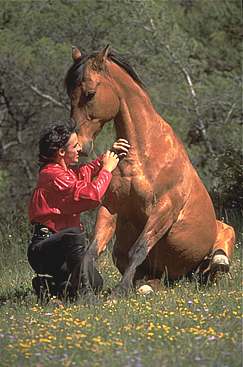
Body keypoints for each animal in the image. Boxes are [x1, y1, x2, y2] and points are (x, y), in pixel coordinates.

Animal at [64, 45, 235, 294]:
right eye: (70, 95)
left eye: (90, 94)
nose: (79, 145)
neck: (143, 154)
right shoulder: (110, 206)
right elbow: (92, 250)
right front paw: (85, 290)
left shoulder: (164, 209)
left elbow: (139, 248)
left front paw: (121, 290)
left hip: (224, 232)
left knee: (217, 259)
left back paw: (218, 261)